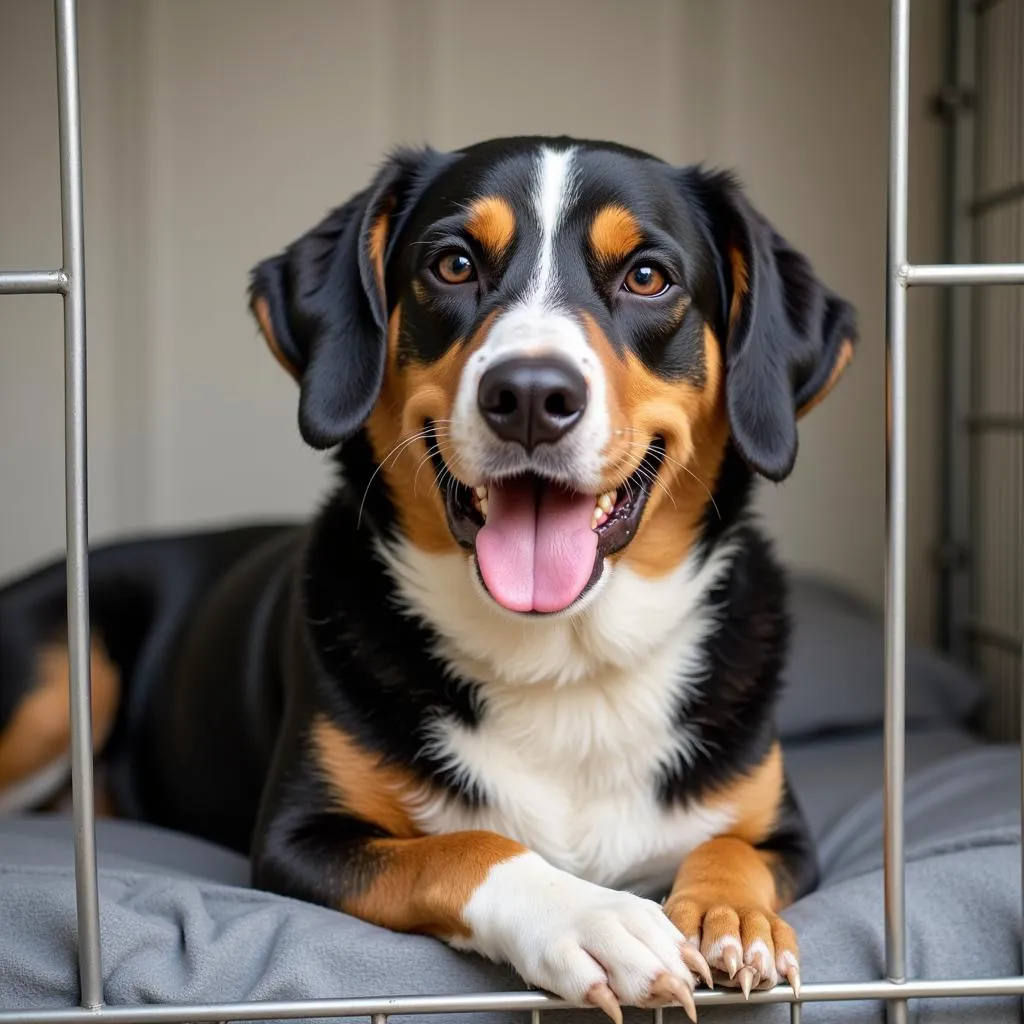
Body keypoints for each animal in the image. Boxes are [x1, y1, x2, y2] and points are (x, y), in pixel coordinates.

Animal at [0, 134, 856, 1015]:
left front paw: (732, 921)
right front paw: (593, 920)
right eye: (453, 264)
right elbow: (467, 847)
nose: (530, 394)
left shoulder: (782, 829)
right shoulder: (299, 837)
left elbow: (732, 849)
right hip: (54, 683)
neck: (564, 660)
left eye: (647, 276)